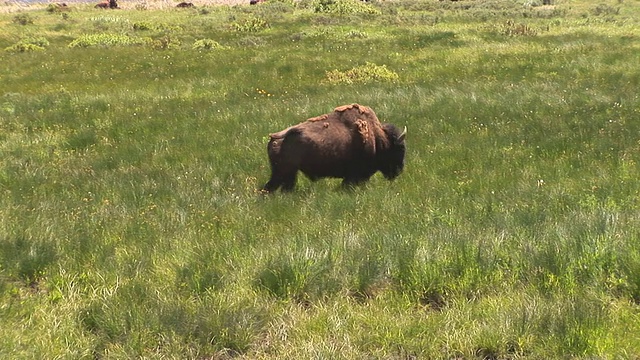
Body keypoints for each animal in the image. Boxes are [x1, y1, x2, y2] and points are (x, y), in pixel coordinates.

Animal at [260, 102, 404, 193]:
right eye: (399, 149)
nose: (399, 171)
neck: (378, 136)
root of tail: (276, 137)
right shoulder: (356, 175)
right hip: (284, 172)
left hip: (287, 173)